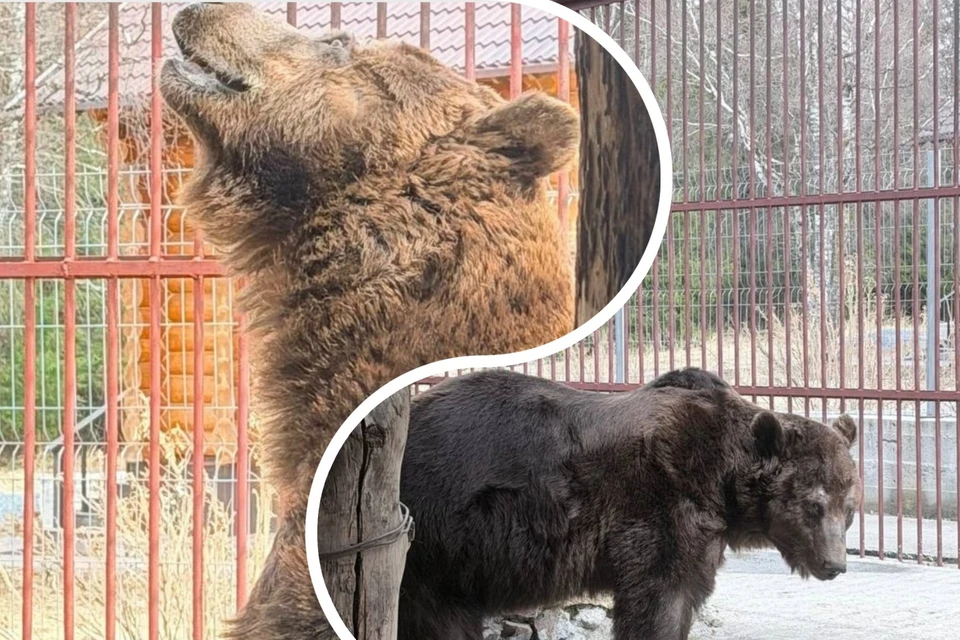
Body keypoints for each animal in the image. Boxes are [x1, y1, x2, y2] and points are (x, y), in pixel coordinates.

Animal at [398, 367, 862, 640]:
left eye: (850, 507)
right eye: (814, 504)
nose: (835, 564)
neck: (722, 483)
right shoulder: (660, 507)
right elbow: (659, 595)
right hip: (440, 531)